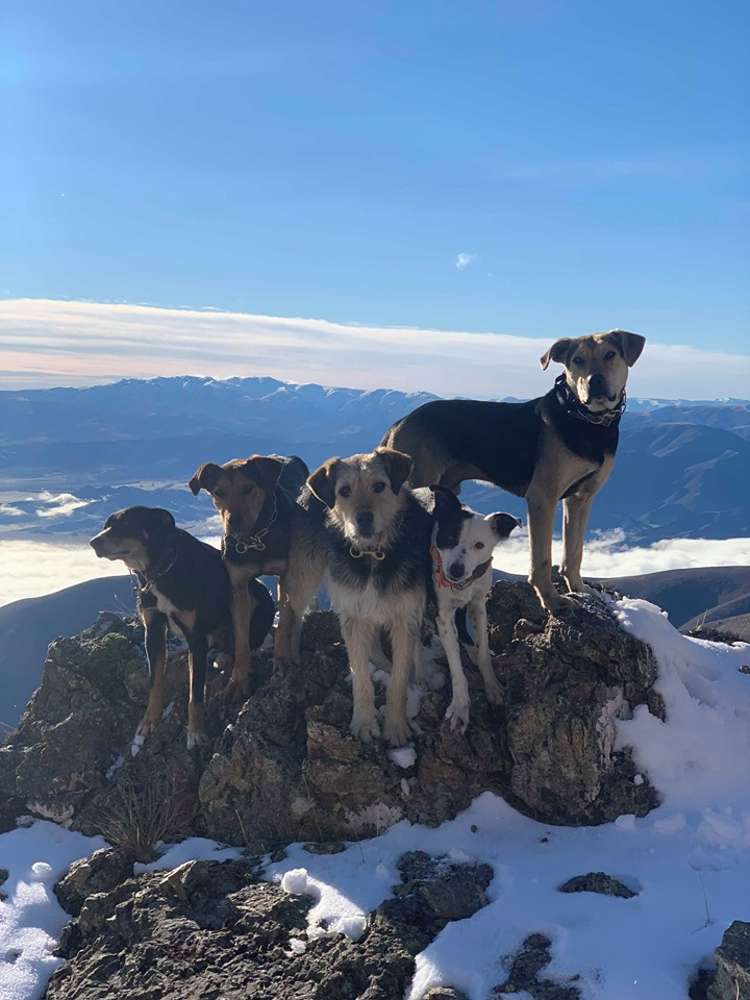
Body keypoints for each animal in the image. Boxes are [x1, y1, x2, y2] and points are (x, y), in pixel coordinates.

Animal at [89, 508, 274, 752]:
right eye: (106, 525)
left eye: (125, 524)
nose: (93, 542)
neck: (160, 571)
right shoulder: (154, 631)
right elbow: (155, 681)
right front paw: (148, 722)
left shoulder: (195, 637)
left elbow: (195, 692)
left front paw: (196, 733)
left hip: (253, 600)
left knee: (244, 645)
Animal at [188, 456, 324, 696]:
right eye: (218, 492)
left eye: (248, 487)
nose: (233, 522)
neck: (255, 538)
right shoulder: (238, 585)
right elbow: (241, 637)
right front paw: (239, 678)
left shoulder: (285, 576)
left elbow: (284, 622)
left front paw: (282, 661)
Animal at [306, 450, 434, 748]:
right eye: (344, 491)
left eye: (379, 486)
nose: (363, 519)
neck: (374, 555)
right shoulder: (353, 615)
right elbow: (360, 676)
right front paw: (364, 723)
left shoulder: (405, 615)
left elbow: (399, 679)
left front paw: (396, 727)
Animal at [382, 330, 648, 608]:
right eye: (577, 360)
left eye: (610, 354)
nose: (595, 381)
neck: (585, 421)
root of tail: (399, 423)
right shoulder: (542, 498)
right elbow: (542, 559)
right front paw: (551, 600)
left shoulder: (581, 499)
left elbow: (574, 552)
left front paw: (578, 588)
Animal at [426, 488, 520, 732]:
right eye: (449, 538)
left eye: (479, 545)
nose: (456, 570)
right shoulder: (443, 614)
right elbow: (457, 670)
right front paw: (460, 707)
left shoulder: (478, 605)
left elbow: (483, 650)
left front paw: (492, 686)